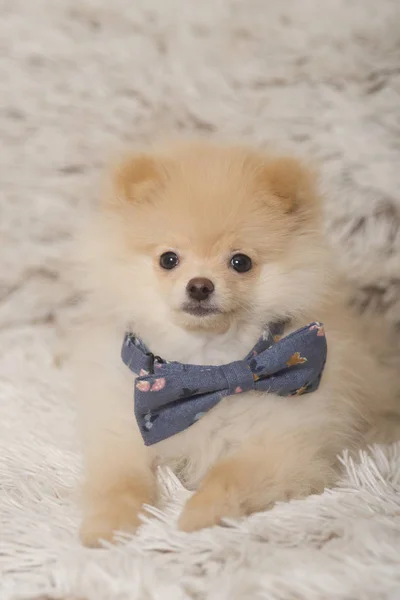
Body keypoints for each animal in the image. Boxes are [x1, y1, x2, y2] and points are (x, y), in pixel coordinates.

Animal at [73, 142, 398, 548]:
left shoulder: (283, 445)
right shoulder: (123, 430)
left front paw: (199, 514)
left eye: (240, 262)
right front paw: (106, 527)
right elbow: (118, 482)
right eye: (168, 259)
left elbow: (227, 475)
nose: (200, 285)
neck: (206, 367)